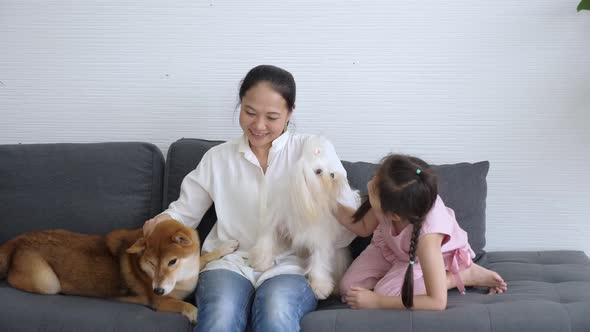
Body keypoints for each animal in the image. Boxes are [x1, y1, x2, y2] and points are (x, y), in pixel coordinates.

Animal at [1, 219, 240, 322]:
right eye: (151, 263)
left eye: (172, 261)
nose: (158, 290)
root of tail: (17, 241)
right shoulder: (160, 303)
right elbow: (185, 305)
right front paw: (196, 313)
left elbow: (203, 257)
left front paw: (226, 247)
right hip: (48, 282)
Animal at [250, 135, 360, 298]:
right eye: (318, 171)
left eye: (330, 168)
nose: (333, 174)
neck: (306, 200)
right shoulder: (276, 220)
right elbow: (266, 240)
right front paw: (261, 262)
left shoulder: (320, 237)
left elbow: (320, 261)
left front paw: (320, 286)